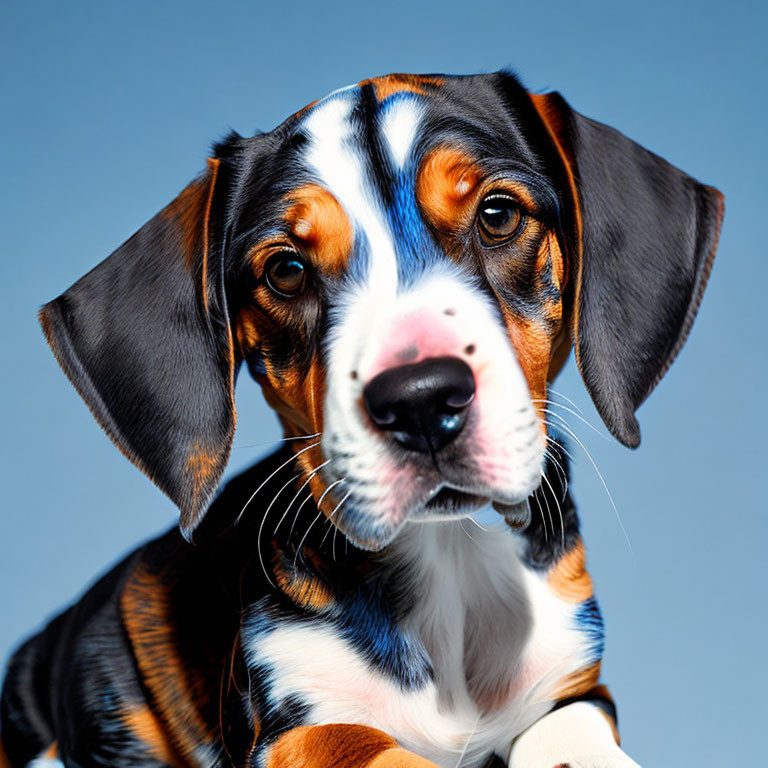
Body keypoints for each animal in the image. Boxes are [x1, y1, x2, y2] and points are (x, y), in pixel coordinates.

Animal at [0, 73, 724, 768]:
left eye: (498, 215)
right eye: (286, 270)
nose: (421, 400)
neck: (451, 563)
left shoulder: (572, 689)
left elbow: (572, 741)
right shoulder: (292, 727)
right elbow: (375, 748)